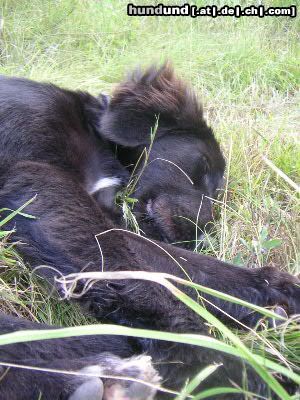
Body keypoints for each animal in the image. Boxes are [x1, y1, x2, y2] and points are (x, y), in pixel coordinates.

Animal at [0, 64, 300, 398]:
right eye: (202, 166)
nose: (201, 235)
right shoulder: (38, 181)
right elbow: (143, 276)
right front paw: (213, 363)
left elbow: (180, 265)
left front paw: (278, 294)